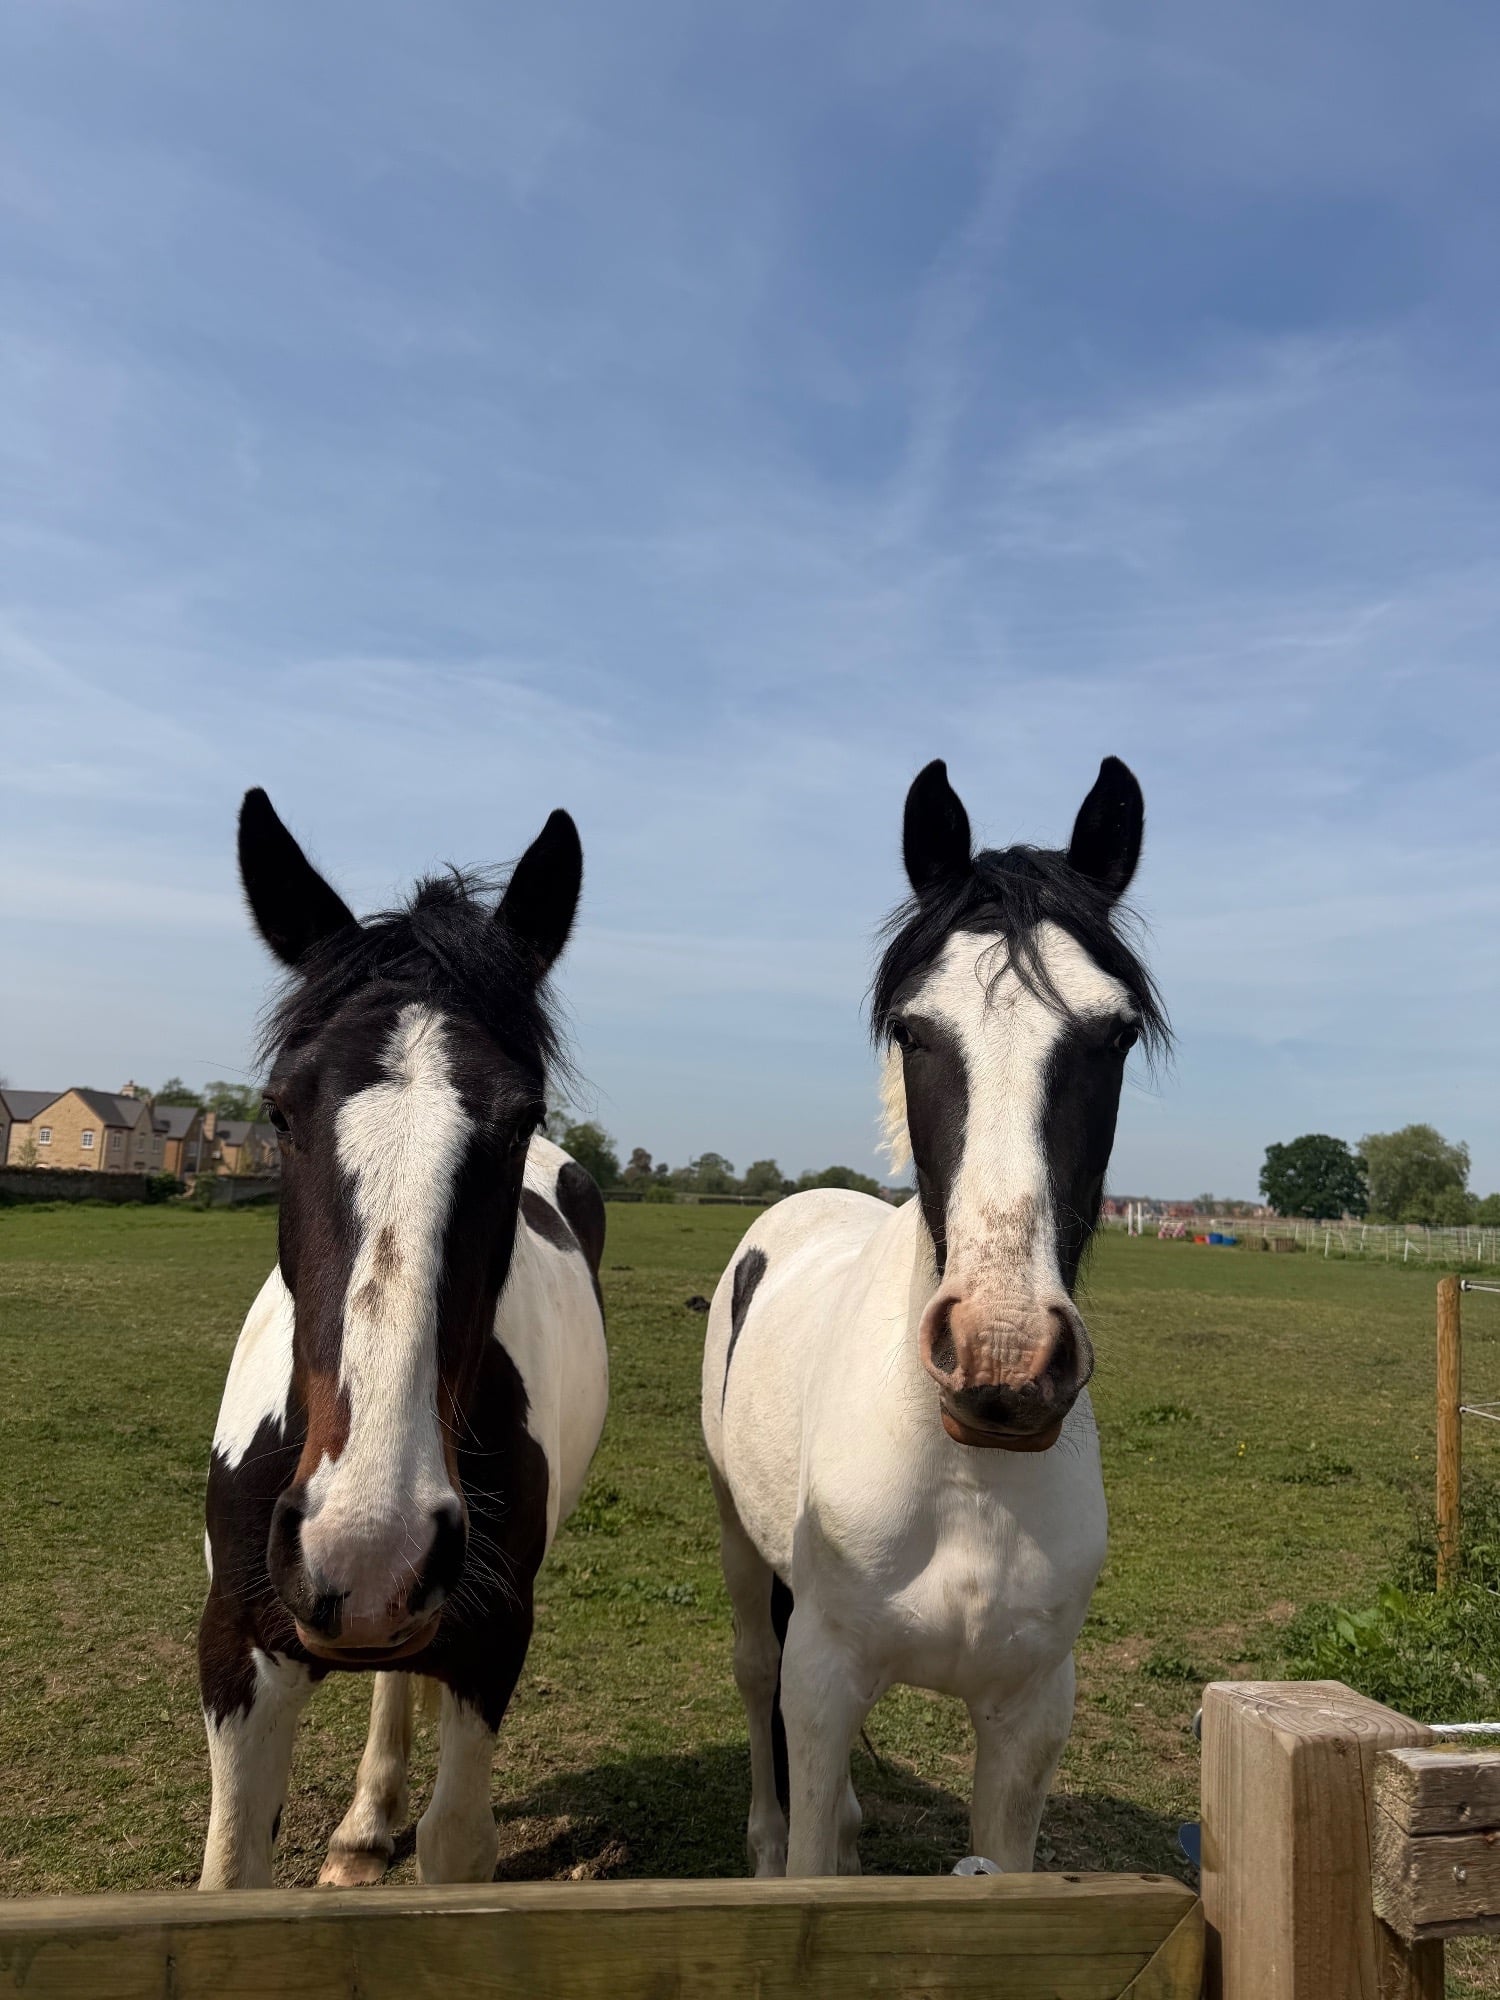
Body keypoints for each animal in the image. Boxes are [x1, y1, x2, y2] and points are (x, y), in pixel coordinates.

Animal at [198, 790, 609, 1890]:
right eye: (278, 1109)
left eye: (521, 1116)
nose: (367, 1546)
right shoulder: (234, 1654)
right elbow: (230, 1869)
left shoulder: (488, 1645)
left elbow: (455, 1845)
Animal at [701, 755, 1167, 1877]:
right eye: (915, 1031)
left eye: (1114, 1034)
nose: (1004, 1359)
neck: (967, 1480)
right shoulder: (822, 1684)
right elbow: (807, 1847)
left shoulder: (1028, 1718)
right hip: (739, 1539)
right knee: (753, 1671)